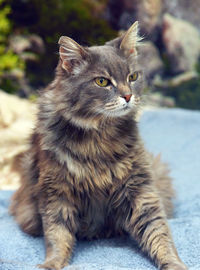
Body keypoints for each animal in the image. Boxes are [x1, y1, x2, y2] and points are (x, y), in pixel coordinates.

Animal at [9, 21, 188, 270]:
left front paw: (174, 264)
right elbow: (57, 235)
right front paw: (52, 264)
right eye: (102, 82)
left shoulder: (140, 188)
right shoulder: (56, 190)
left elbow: (159, 234)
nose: (128, 96)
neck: (99, 136)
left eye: (132, 76)